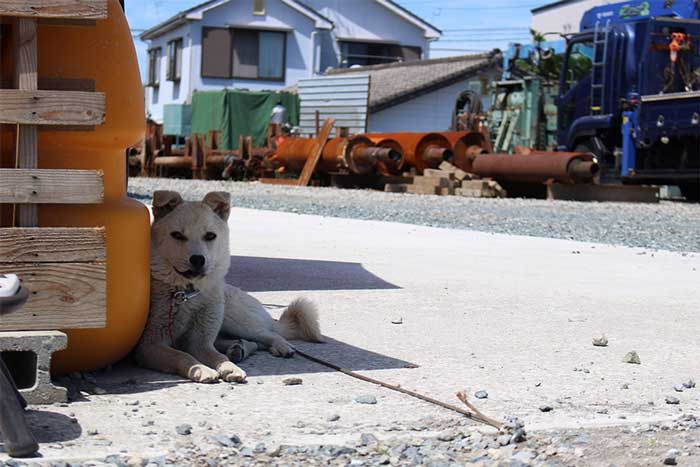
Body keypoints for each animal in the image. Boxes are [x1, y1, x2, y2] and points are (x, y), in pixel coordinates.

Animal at [134, 190, 326, 384]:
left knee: (267, 334)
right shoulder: (149, 346)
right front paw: (202, 369)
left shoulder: (200, 343)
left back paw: (278, 345)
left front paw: (228, 367)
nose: (198, 260)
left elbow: (218, 357)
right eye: (177, 235)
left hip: (235, 320)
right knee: (249, 342)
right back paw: (238, 349)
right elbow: (182, 355)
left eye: (210, 236)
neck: (187, 295)